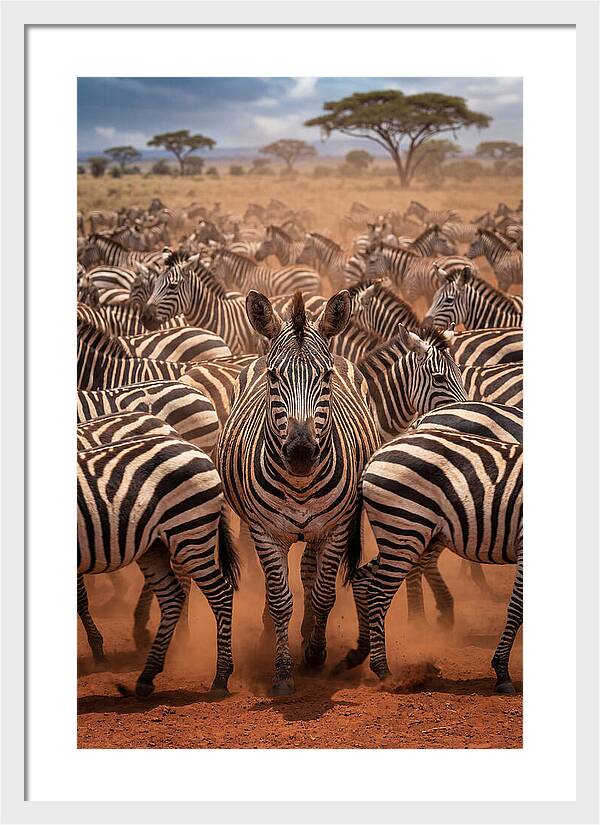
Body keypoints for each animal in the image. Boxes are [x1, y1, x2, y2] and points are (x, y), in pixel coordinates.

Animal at [77, 423, 239, 696]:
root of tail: (197, 449)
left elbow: (80, 598)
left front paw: (98, 650)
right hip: (155, 546)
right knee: (172, 596)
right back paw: (147, 675)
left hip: (189, 531)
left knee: (221, 594)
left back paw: (220, 678)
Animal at [217, 290, 380, 694]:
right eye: (274, 376)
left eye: (326, 376)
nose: (302, 453)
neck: (302, 485)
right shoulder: (265, 532)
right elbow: (279, 599)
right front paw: (282, 670)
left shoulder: (337, 528)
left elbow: (323, 593)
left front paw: (316, 653)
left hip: (322, 529)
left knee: (309, 569)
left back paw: (308, 633)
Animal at [343, 426, 523, 694]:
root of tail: (376, 455)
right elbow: (517, 608)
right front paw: (502, 672)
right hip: (405, 529)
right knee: (377, 593)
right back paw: (384, 671)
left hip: (403, 535)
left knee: (362, 578)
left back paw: (359, 652)